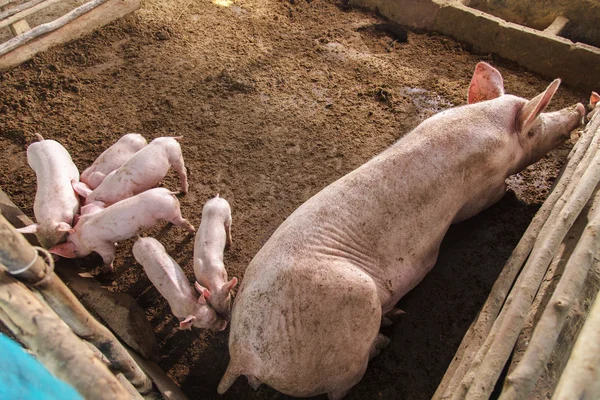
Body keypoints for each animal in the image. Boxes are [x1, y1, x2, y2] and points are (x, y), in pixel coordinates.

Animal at [50, 188, 195, 272]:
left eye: (74, 251)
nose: (78, 263)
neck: (80, 235)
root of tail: (168, 192)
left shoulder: (100, 245)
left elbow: (109, 256)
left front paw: (107, 271)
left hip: (171, 212)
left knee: (185, 222)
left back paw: (192, 232)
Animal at [217, 63, 584, 400]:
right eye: (538, 123)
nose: (580, 107)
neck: (488, 124)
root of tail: (243, 357)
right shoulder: (482, 190)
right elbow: (493, 196)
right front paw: (510, 192)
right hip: (353, 303)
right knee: (341, 385)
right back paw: (387, 333)